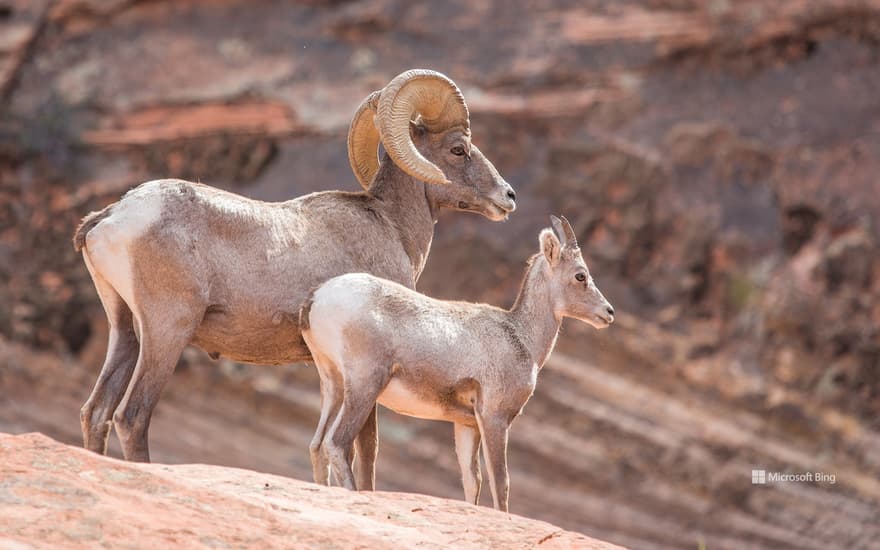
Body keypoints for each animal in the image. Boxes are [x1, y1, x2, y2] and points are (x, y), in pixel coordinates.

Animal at [75, 70, 520, 466]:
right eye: (458, 149)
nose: (508, 196)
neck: (391, 226)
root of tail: (112, 216)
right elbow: (366, 453)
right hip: (167, 331)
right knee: (132, 417)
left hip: (126, 329)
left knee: (96, 412)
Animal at [300, 216, 616, 512]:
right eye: (580, 275)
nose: (609, 312)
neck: (521, 337)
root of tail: (318, 297)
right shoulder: (494, 419)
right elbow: (500, 482)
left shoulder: (466, 425)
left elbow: (471, 480)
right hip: (364, 387)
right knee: (336, 444)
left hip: (334, 385)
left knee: (317, 445)